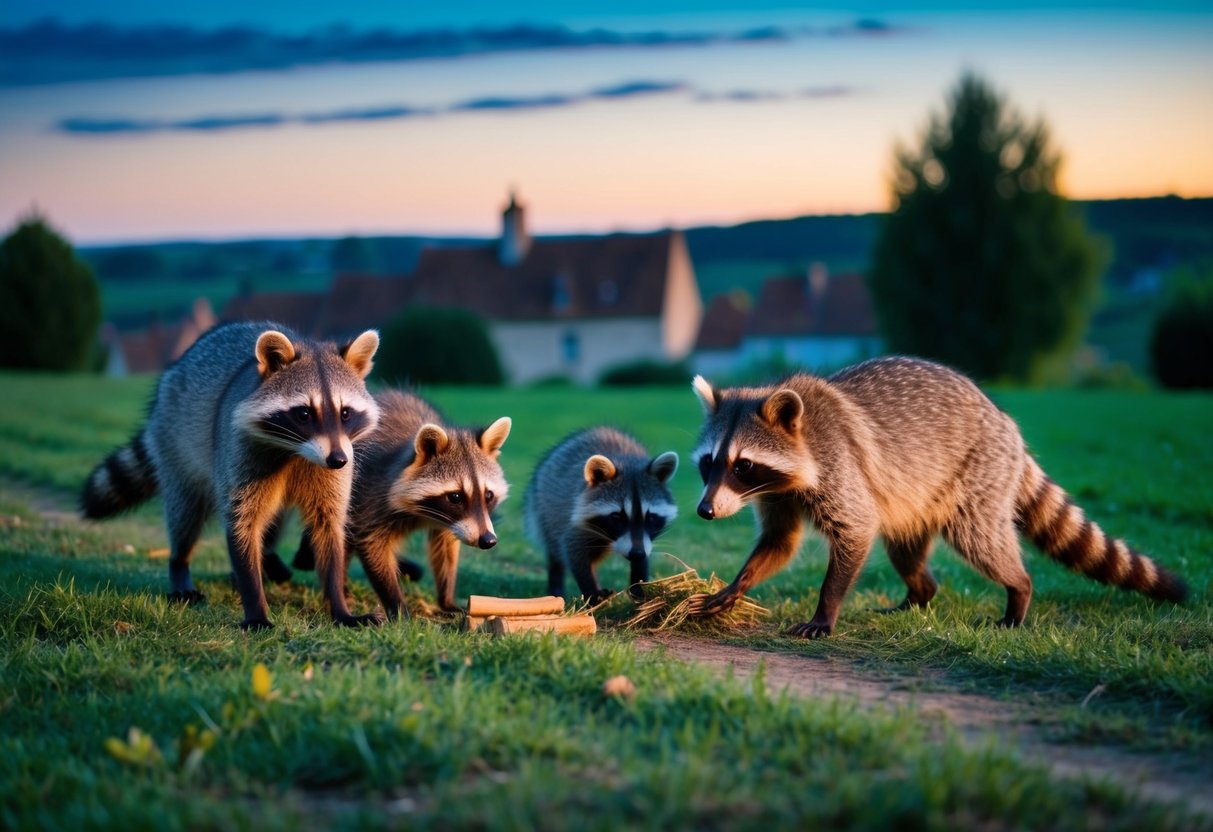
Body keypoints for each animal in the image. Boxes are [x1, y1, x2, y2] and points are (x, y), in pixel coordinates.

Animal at [81, 321, 380, 630]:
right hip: (175, 445)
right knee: (185, 515)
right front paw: (255, 605)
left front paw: (339, 604)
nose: (338, 460)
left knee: (275, 518)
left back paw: (268, 556)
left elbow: (328, 527)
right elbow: (242, 523)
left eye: (345, 413)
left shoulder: (332, 469)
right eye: (304, 414)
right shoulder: (239, 452)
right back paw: (179, 564)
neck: (295, 452)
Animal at [294, 388, 511, 620]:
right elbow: (372, 545)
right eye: (456, 497)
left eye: (488, 495)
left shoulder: (455, 523)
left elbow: (446, 548)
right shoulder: (370, 494)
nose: (488, 540)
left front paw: (446, 598)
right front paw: (397, 607)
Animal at [525, 427, 679, 602]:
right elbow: (574, 553)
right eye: (617, 517)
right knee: (554, 551)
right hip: (546, 509)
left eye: (650, 517)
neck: (627, 463)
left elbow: (644, 556)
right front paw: (591, 591)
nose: (637, 554)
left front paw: (639, 585)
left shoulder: (644, 541)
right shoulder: (573, 519)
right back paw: (556, 585)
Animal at [690, 357, 1188, 637]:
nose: (705, 510)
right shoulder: (778, 494)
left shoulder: (838, 467)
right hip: (917, 499)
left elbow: (856, 529)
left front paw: (825, 610)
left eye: (742, 465)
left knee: (982, 541)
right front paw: (736, 585)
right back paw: (918, 594)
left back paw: (1019, 592)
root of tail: (1005, 422)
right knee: (905, 551)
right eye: (709, 463)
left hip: (979, 475)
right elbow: (780, 542)